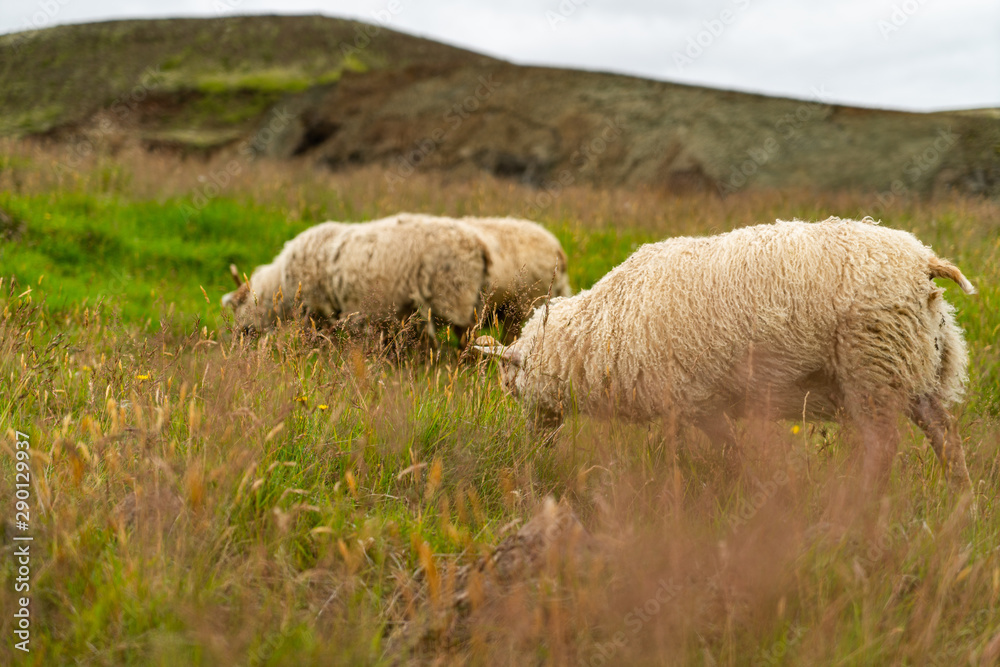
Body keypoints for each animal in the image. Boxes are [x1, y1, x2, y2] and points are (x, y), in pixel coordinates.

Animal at [222, 215, 491, 343]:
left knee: (467, 337)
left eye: (237, 307)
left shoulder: (317, 308)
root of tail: (481, 245)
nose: (238, 337)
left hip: (455, 295)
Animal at [475, 217, 976, 490]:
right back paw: (962, 501)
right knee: (945, 434)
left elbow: (731, 453)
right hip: (915, 365)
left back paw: (862, 503)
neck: (600, 332)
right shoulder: (685, 406)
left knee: (883, 447)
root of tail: (924, 261)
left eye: (513, 390)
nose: (534, 448)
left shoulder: (696, 399)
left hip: (874, 366)